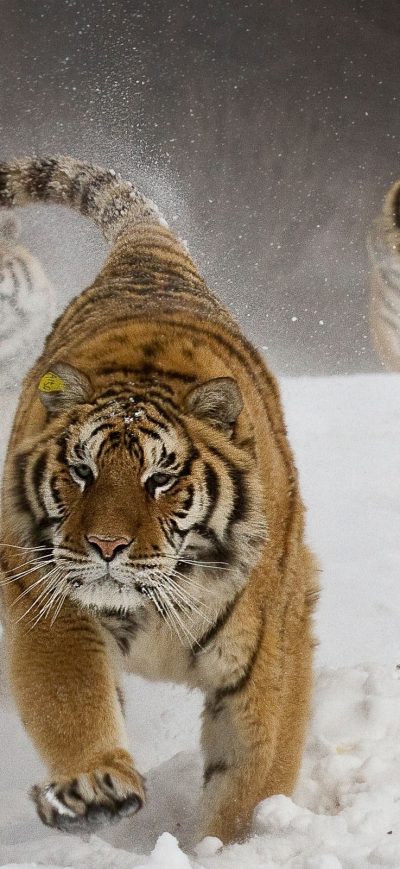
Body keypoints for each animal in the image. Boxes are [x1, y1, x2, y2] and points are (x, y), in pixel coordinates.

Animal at [0, 156, 319, 845]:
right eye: (82, 471)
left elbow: (251, 777)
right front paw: (94, 789)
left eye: (161, 478)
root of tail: (146, 258)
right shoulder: (48, 601)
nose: (106, 546)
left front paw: (235, 844)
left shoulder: (270, 655)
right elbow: (72, 701)